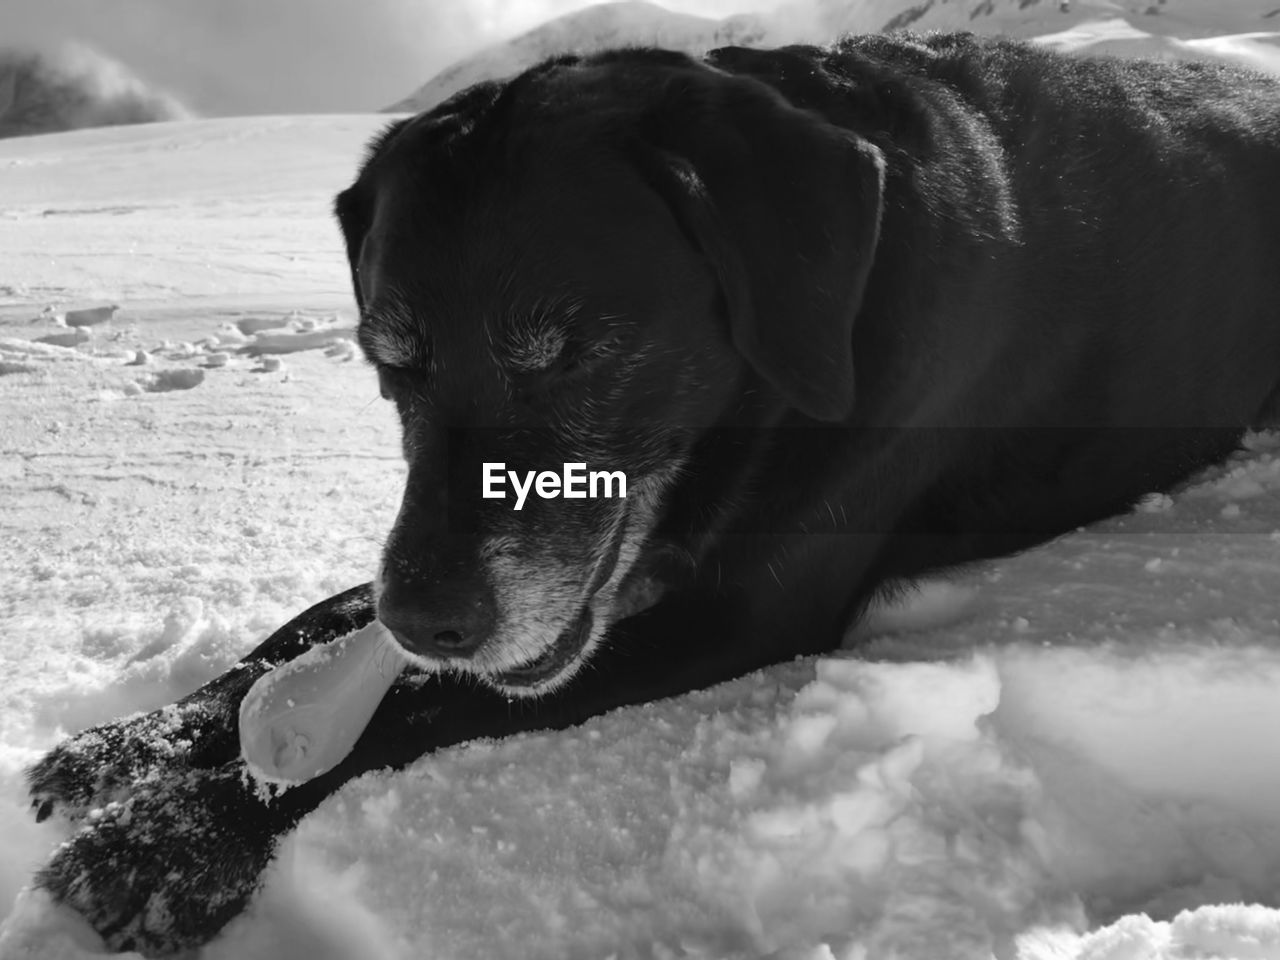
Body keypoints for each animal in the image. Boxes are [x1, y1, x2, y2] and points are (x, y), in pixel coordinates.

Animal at [22, 33, 1280, 957]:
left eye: (573, 351)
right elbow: (313, 630)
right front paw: (133, 742)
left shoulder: (736, 611)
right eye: (391, 360)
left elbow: (413, 706)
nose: (430, 616)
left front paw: (176, 837)